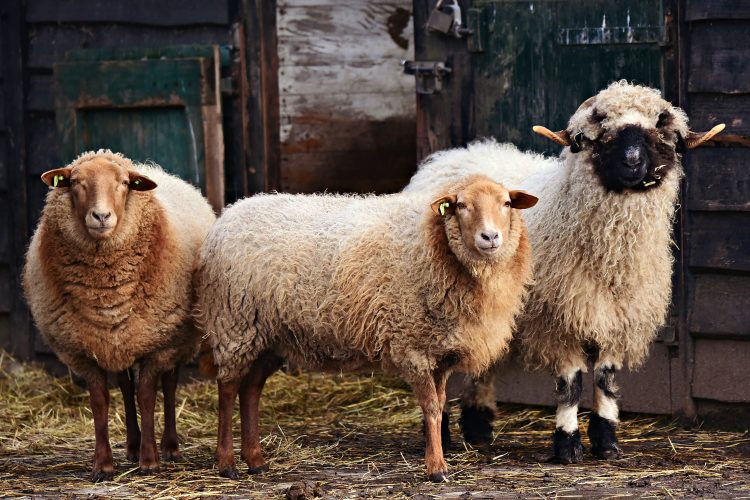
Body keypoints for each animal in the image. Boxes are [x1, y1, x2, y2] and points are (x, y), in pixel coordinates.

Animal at [198, 175, 540, 480]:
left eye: (507, 203)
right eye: (461, 206)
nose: (490, 237)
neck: (432, 243)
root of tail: (229, 214)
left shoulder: (440, 351)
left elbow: (440, 404)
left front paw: (438, 459)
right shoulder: (411, 344)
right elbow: (430, 407)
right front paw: (436, 468)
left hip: (270, 335)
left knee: (251, 390)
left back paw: (256, 461)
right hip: (235, 323)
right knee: (227, 389)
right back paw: (227, 463)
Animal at [406, 80, 728, 462]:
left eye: (658, 134)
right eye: (603, 134)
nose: (632, 163)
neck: (612, 260)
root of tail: (449, 156)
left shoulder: (617, 318)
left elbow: (605, 380)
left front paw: (607, 442)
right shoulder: (559, 319)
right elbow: (572, 384)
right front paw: (568, 445)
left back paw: (479, 428)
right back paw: (442, 433)